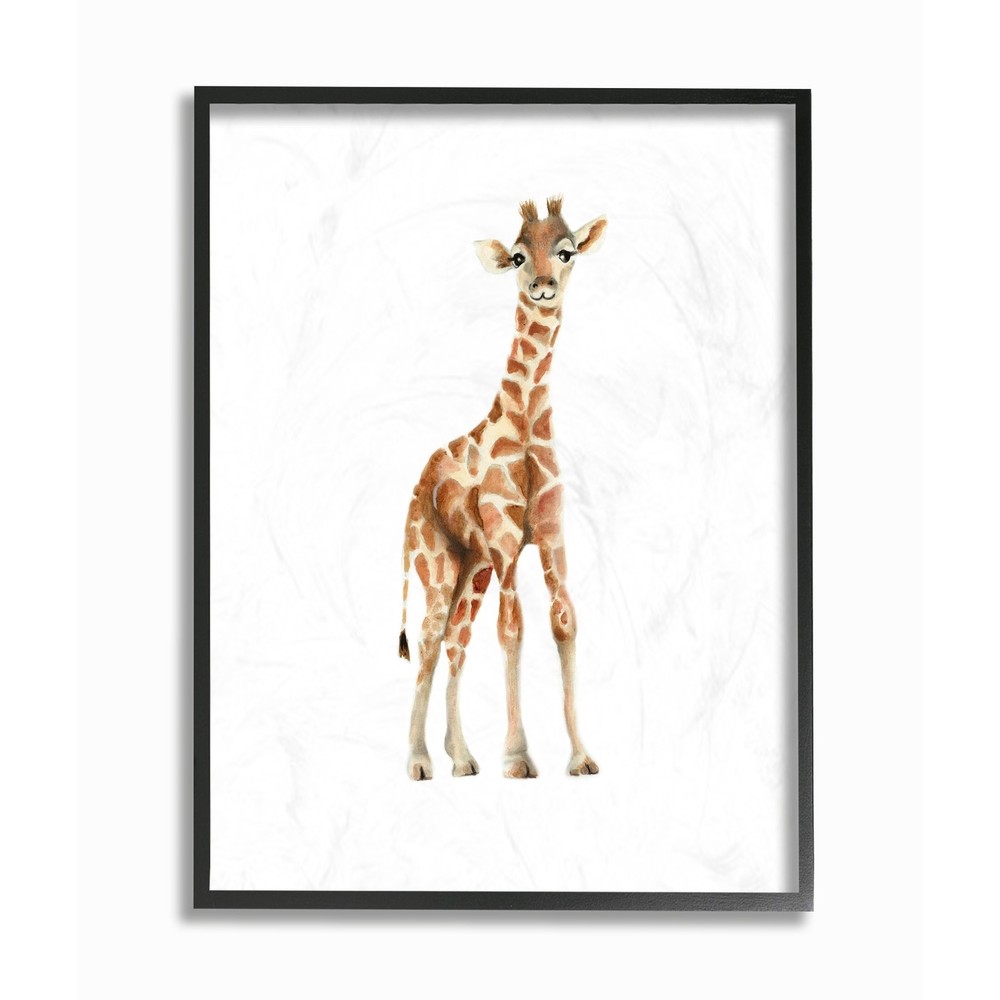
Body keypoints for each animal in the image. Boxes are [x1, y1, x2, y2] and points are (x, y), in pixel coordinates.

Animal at [398, 196, 607, 780]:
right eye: (517, 256)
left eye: (566, 251)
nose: (542, 285)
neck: (527, 423)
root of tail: (416, 486)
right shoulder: (508, 541)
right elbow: (513, 629)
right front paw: (517, 757)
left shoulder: (552, 538)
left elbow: (564, 622)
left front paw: (580, 756)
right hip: (439, 563)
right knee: (427, 640)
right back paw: (419, 761)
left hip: (473, 568)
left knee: (455, 641)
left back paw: (462, 758)